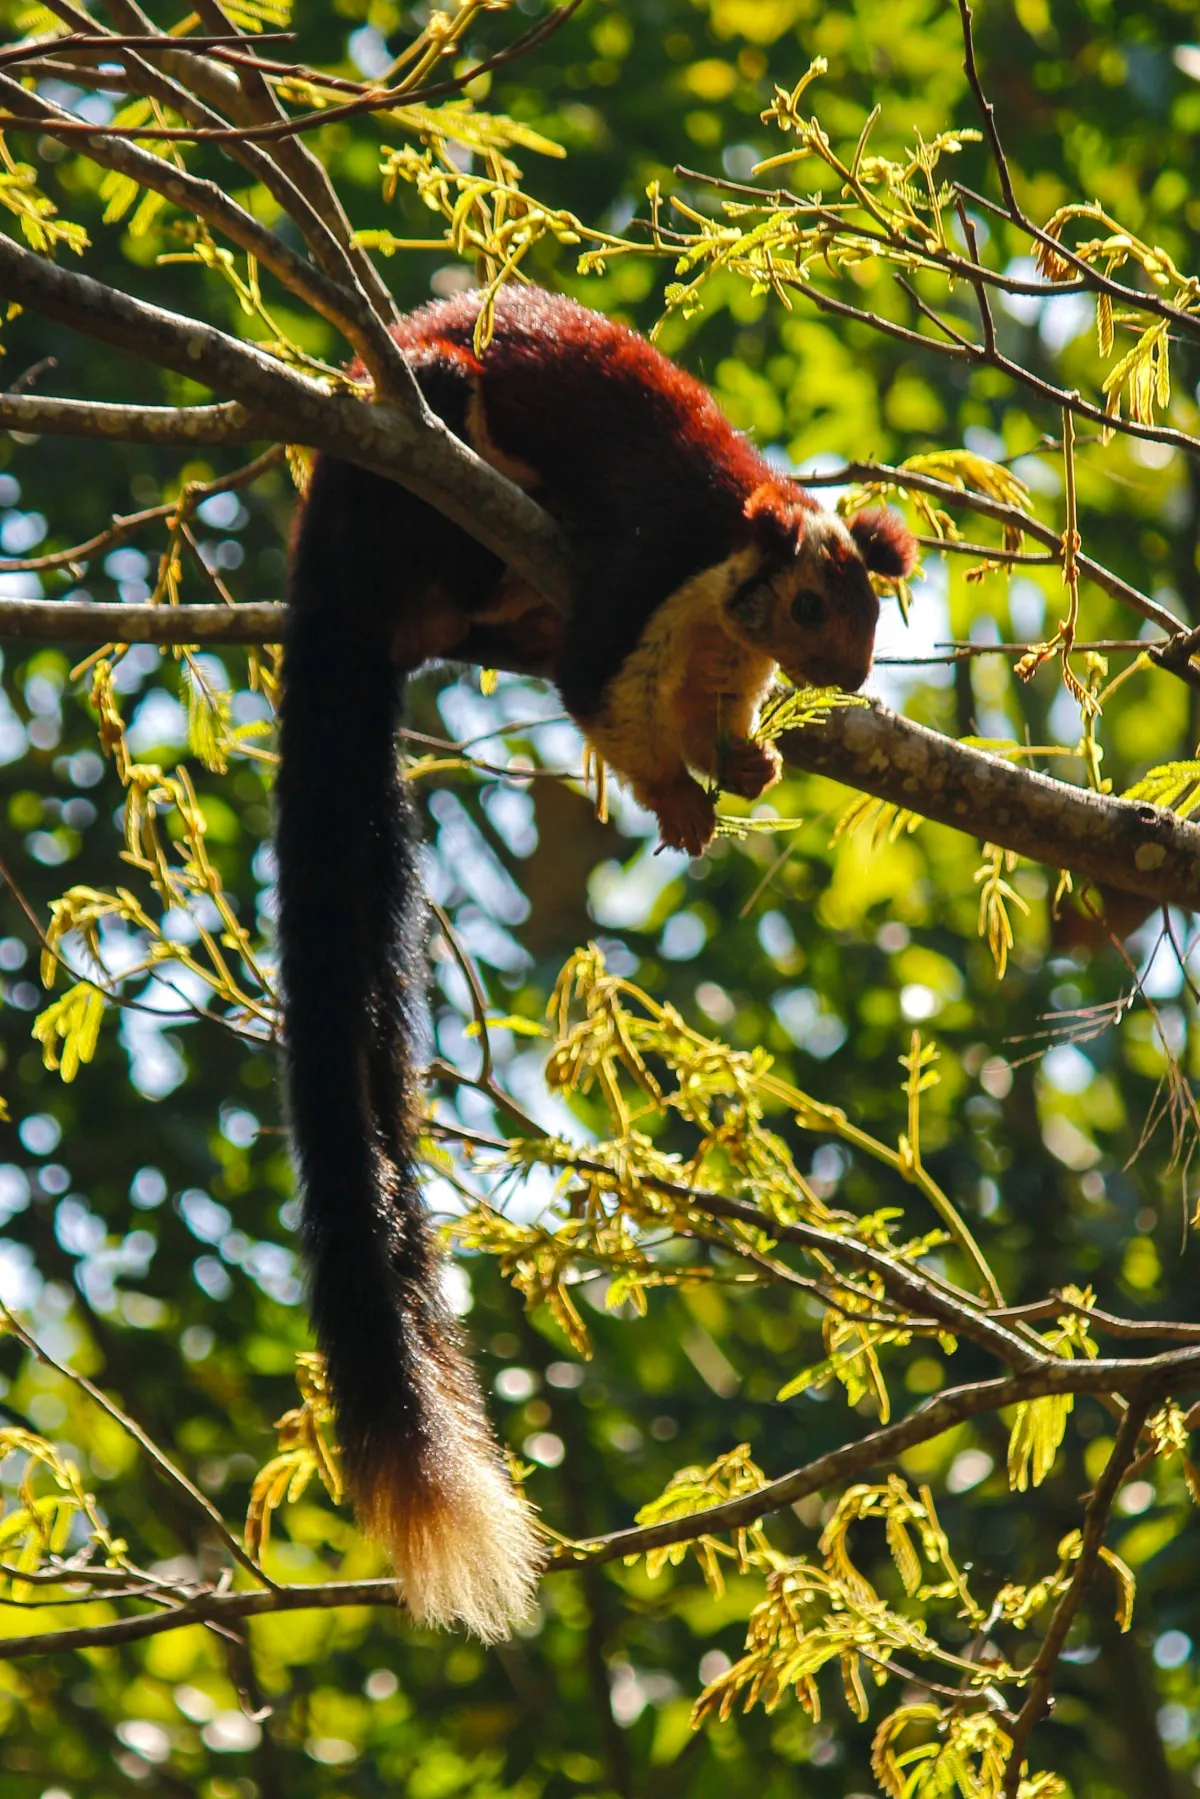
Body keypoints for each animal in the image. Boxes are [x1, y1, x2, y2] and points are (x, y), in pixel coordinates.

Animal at [276, 284, 916, 1641]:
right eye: (817, 609)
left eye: (872, 612)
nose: (850, 676)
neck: (731, 567)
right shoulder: (644, 573)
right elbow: (601, 692)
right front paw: (677, 796)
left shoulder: (719, 645)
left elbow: (713, 707)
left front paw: (745, 762)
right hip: (414, 464)